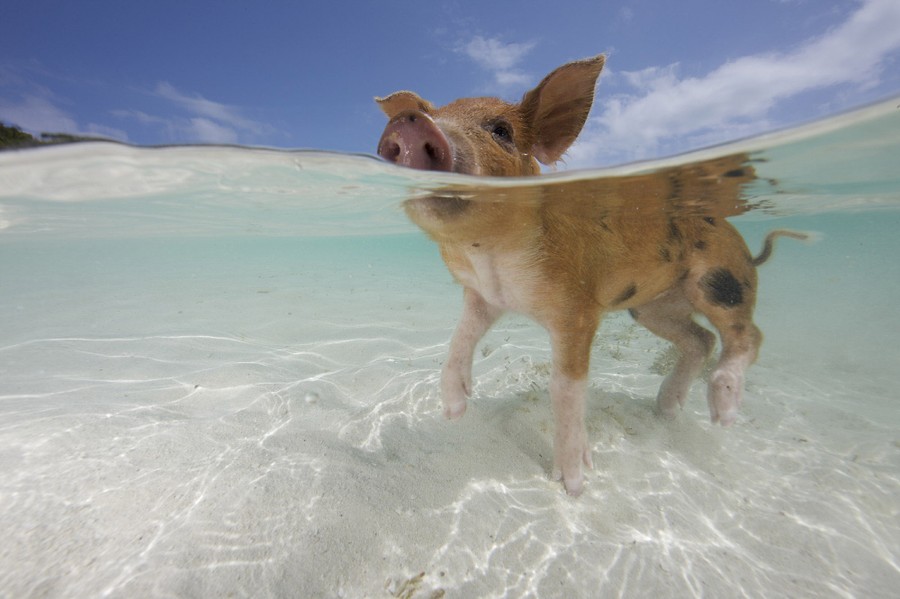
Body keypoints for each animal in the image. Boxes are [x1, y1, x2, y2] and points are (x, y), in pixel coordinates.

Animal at [376, 55, 806, 495]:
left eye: (502, 131)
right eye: (436, 113)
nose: (410, 122)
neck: (491, 256)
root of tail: (744, 246)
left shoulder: (578, 310)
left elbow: (565, 387)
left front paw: (572, 485)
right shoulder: (484, 296)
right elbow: (459, 338)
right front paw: (453, 412)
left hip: (720, 280)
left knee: (747, 335)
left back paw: (723, 415)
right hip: (651, 308)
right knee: (701, 340)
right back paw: (666, 410)